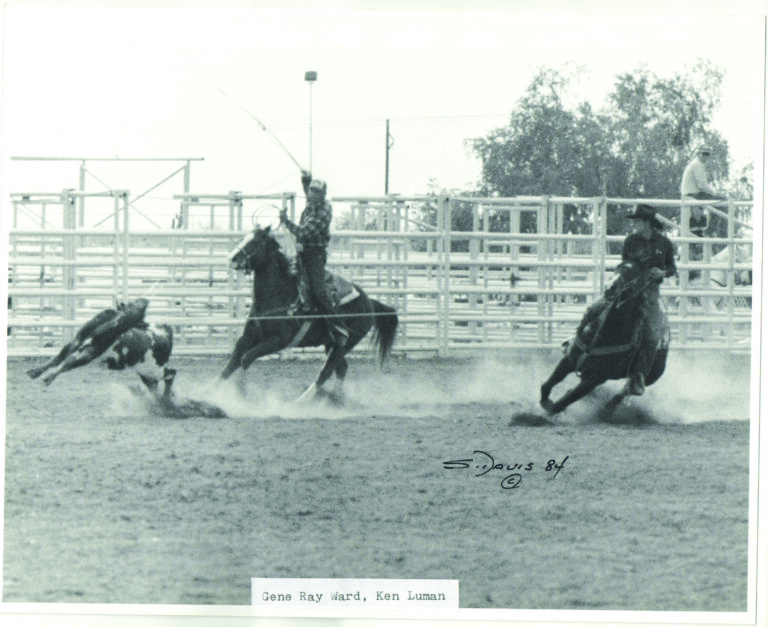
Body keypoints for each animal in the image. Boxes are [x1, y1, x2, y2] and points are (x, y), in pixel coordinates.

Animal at [219, 226, 400, 402]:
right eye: (244, 238)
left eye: (256, 242)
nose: (232, 258)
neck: (279, 295)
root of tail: (370, 302)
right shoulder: (248, 336)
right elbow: (233, 362)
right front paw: (214, 390)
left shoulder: (278, 341)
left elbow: (246, 358)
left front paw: (240, 390)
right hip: (332, 343)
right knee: (341, 369)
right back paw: (336, 399)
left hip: (347, 344)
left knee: (326, 372)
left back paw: (302, 401)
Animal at [536, 262, 668, 418]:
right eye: (617, 268)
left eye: (634, 275)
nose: (610, 289)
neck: (604, 334)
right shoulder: (569, 359)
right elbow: (548, 384)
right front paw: (545, 401)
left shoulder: (594, 379)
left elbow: (564, 401)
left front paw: (548, 410)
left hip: (651, 376)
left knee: (627, 389)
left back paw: (609, 406)